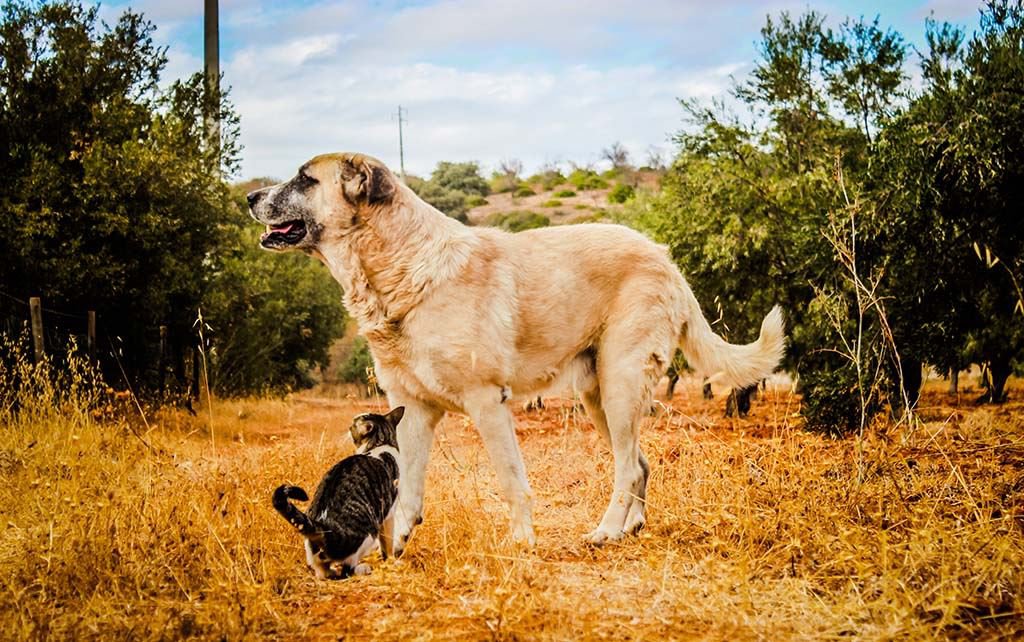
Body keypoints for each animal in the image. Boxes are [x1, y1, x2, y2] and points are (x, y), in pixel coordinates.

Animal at [249, 154, 782, 552]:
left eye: (305, 178)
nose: (250, 197)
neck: (401, 267)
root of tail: (663, 256)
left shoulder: (487, 402)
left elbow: (509, 479)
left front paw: (522, 541)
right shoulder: (413, 410)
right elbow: (407, 487)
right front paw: (396, 545)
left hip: (621, 385)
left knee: (629, 466)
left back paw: (606, 531)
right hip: (599, 397)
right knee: (639, 463)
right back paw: (630, 528)